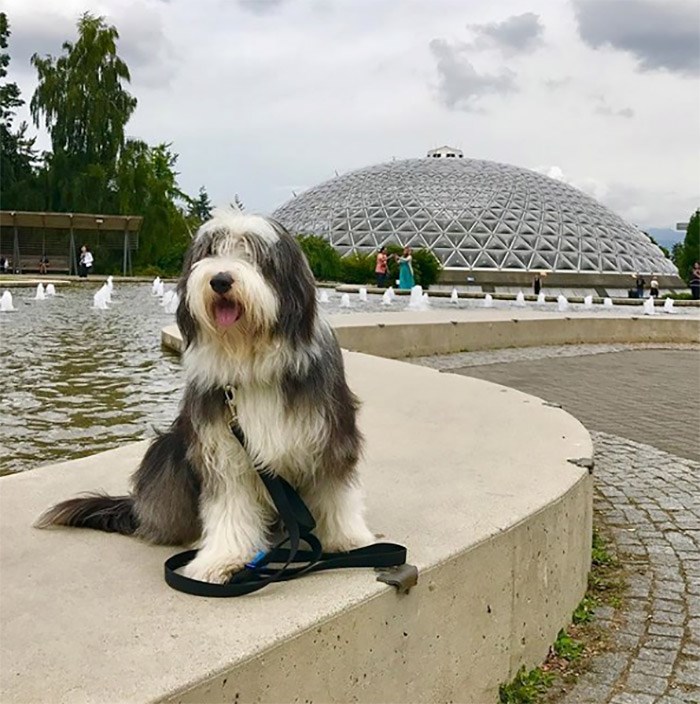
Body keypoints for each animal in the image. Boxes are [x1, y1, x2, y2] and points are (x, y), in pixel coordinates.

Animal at [37, 209, 378, 584]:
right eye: (211, 251)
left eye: (253, 254)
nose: (221, 280)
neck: (251, 363)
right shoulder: (223, 445)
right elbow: (229, 503)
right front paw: (222, 558)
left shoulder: (329, 430)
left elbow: (335, 491)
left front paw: (348, 540)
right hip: (166, 452)